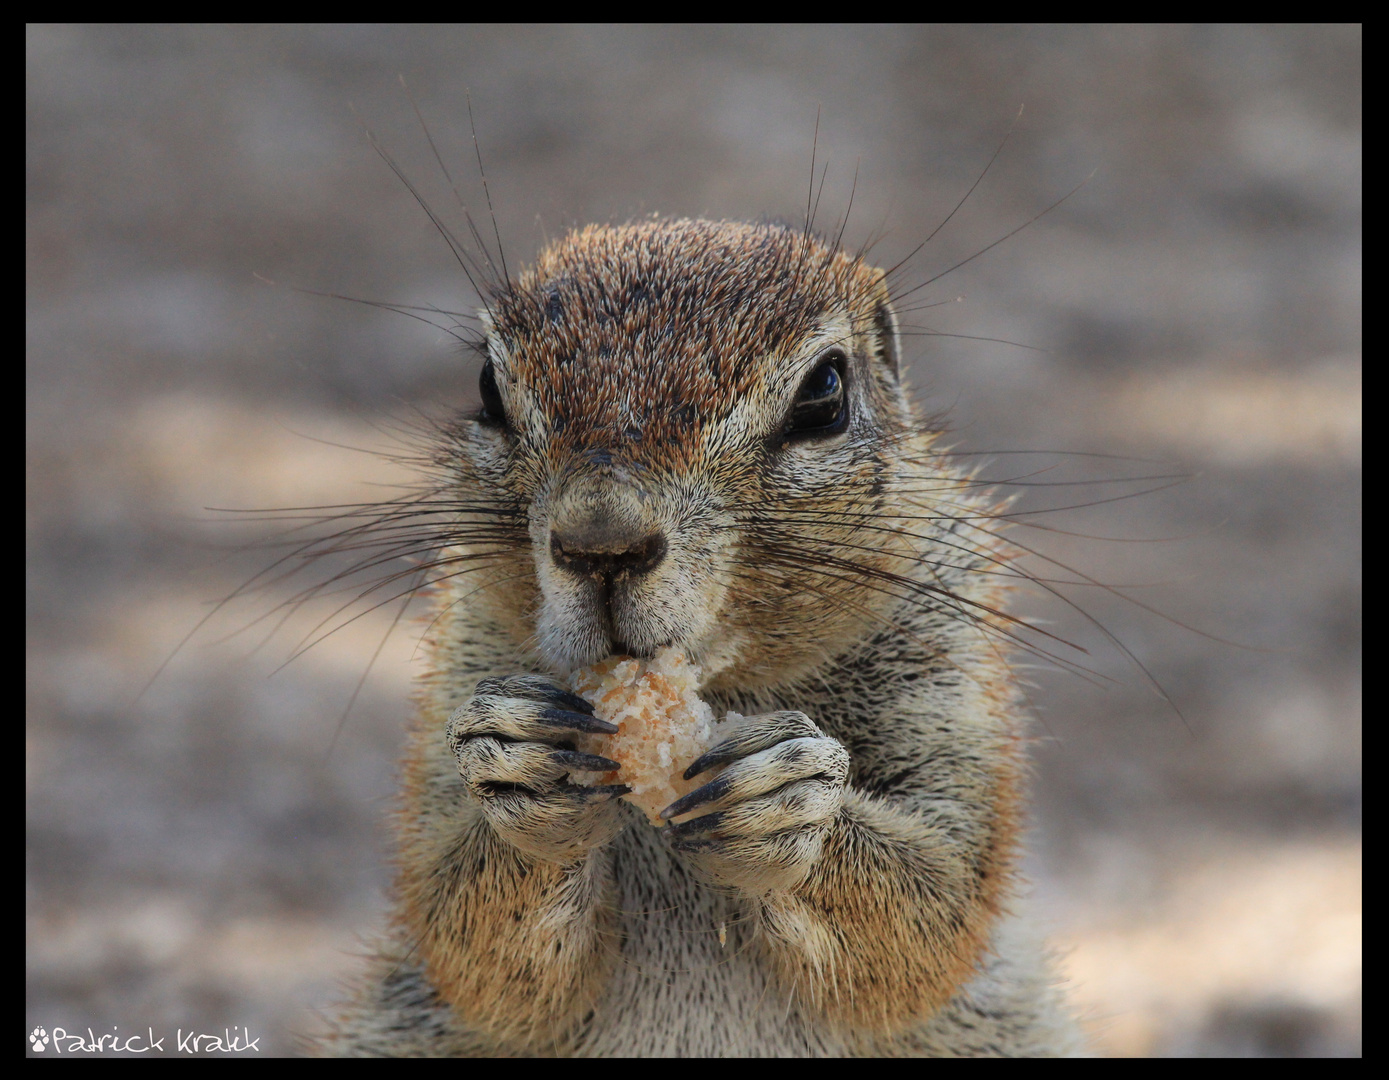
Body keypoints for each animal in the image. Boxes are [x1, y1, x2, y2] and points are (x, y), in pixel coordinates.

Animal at [322, 215, 1083, 1049]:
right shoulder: (467, 645)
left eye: (824, 392)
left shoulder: (945, 664)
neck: (719, 684)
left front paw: (787, 799)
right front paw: (521, 763)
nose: (601, 542)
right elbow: (465, 939)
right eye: (488, 389)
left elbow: (937, 912)